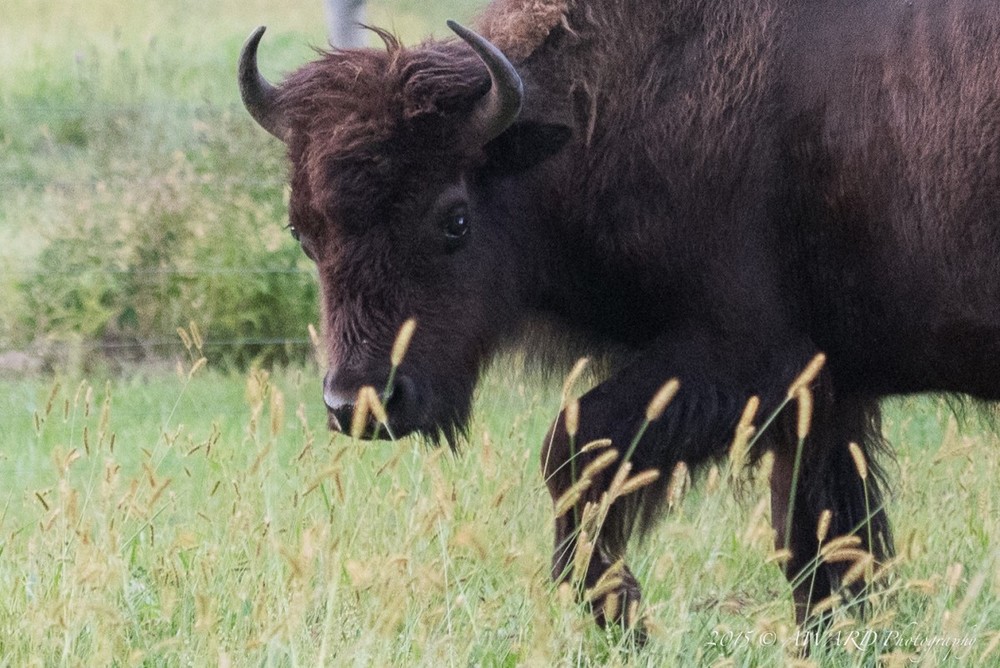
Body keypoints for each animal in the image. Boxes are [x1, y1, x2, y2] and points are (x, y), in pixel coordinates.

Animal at [240, 0, 1000, 636]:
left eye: (454, 218)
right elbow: (821, 538)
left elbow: (570, 450)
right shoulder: (822, 394)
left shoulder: (741, 362)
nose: (362, 403)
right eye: (303, 232)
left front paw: (620, 614)